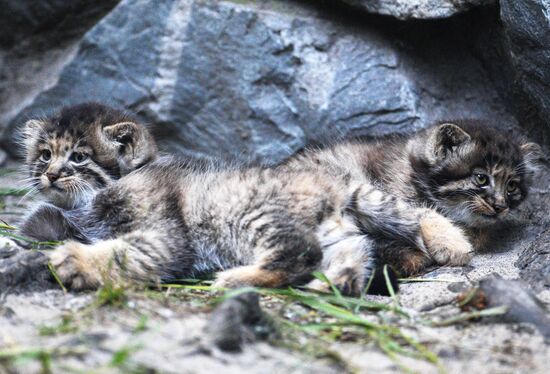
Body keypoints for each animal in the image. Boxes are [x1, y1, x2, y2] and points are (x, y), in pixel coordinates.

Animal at [23, 120, 540, 296]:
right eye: (480, 179)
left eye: (513, 186)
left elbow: (128, 251)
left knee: (301, 254)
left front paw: (78, 262)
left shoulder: (166, 230)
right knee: (349, 252)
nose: (500, 204)